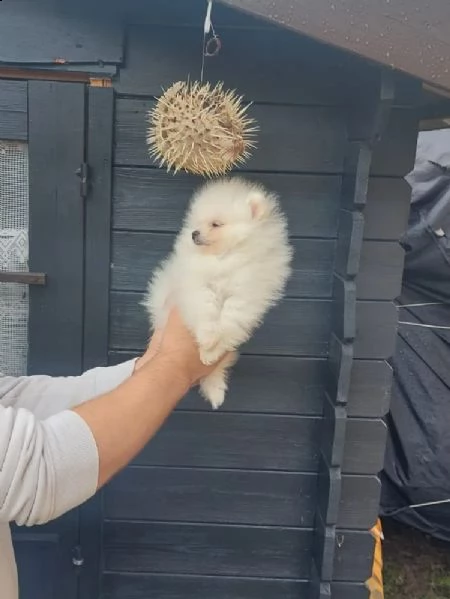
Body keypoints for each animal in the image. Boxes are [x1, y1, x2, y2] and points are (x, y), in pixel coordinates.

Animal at [142, 178, 294, 410]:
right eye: (196, 223)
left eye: (216, 224)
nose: (194, 234)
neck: (224, 257)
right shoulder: (197, 285)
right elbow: (206, 310)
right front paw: (207, 341)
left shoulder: (246, 294)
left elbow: (230, 319)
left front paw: (211, 351)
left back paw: (215, 389)